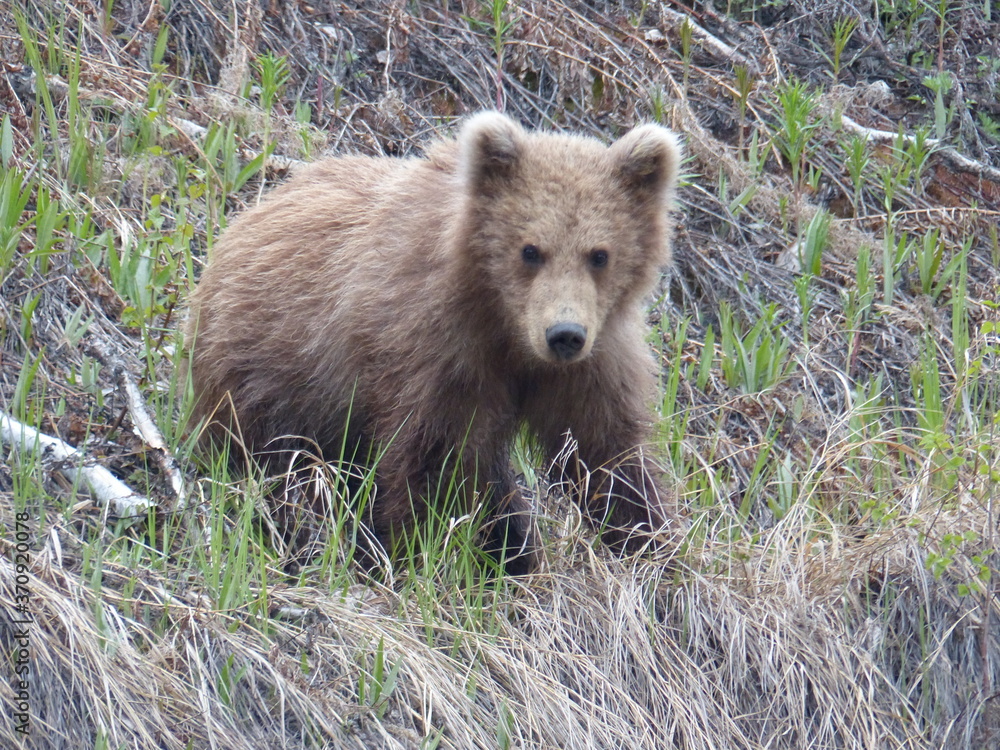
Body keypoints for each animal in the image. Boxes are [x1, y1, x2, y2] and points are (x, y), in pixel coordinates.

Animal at [186, 111, 682, 574]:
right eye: (530, 250)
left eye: (599, 254)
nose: (564, 335)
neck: (508, 330)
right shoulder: (438, 351)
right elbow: (430, 459)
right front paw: (414, 553)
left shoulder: (593, 362)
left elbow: (606, 454)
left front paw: (654, 548)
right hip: (270, 385)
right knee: (283, 471)